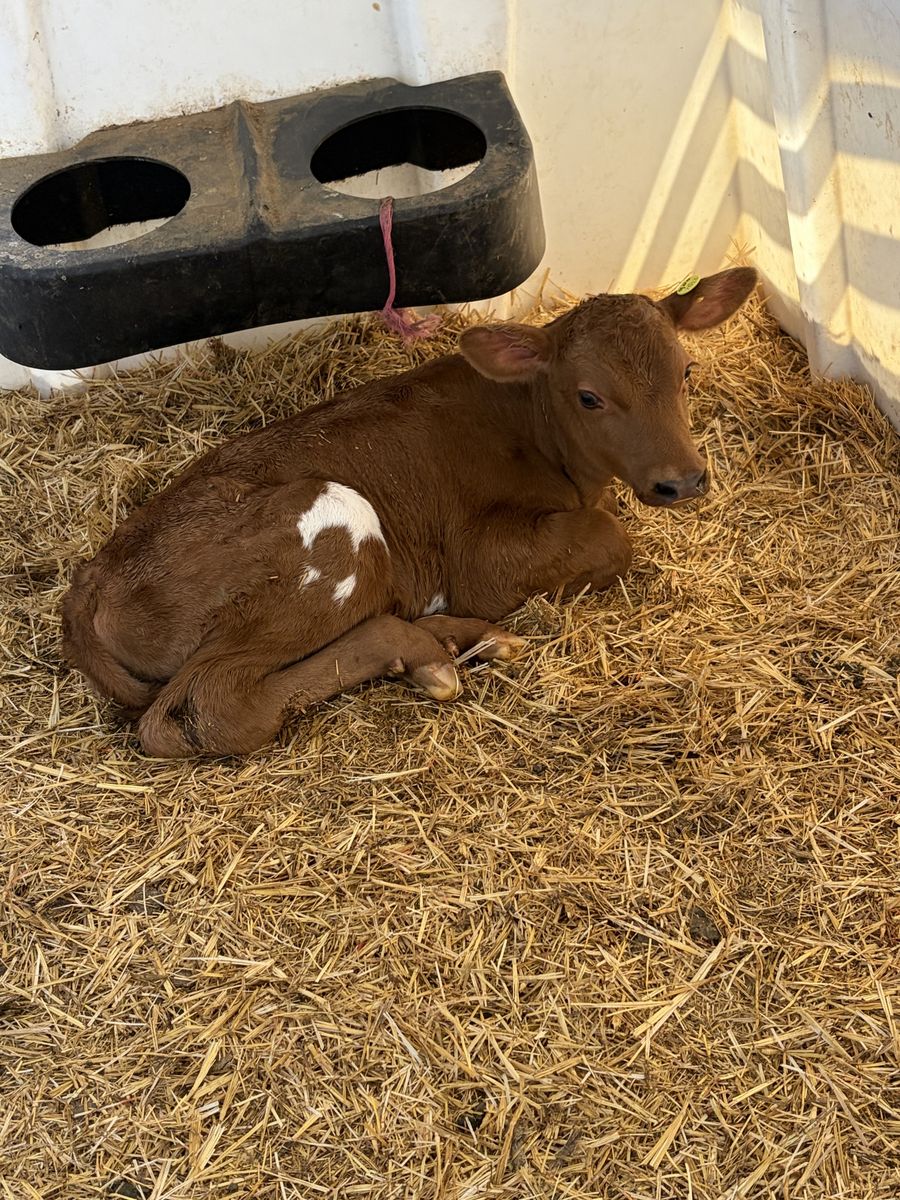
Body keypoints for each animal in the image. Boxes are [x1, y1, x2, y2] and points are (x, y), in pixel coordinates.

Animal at [61, 267, 757, 758]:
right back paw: (423, 650)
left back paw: (455, 641)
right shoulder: (482, 561)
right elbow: (612, 537)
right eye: (589, 397)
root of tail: (91, 579)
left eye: (686, 370)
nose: (683, 480)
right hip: (330, 525)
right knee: (206, 708)